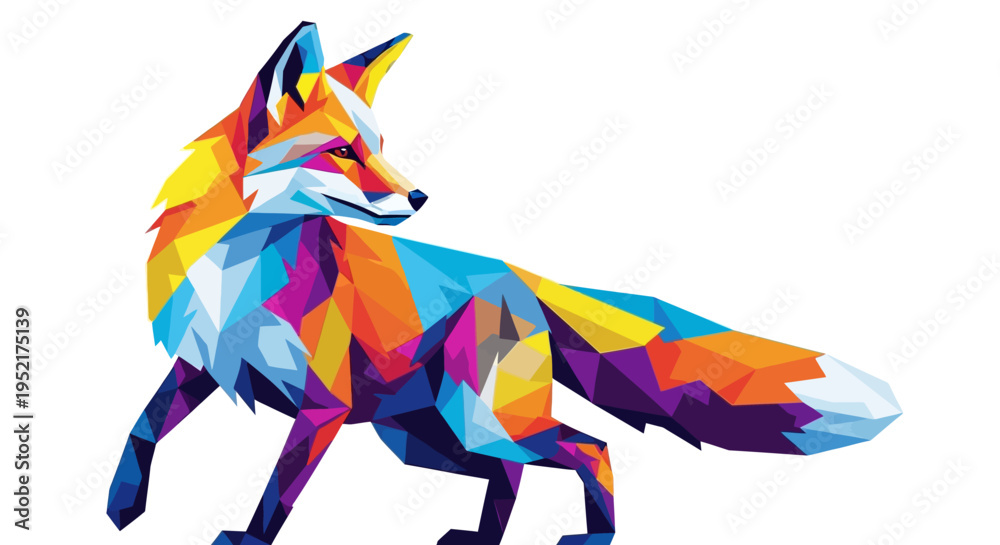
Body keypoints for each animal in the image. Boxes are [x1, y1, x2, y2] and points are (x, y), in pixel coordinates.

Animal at [107, 22, 902, 545]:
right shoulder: (204, 362)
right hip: (427, 435)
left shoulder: (324, 404)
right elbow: (144, 424)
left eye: (381, 147)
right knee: (516, 473)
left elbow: (279, 489)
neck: (237, 269)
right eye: (343, 152)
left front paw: (245, 538)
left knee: (590, 448)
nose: (420, 197)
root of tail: (517, 276)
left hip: (477, 421)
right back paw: (481, 540)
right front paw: (121, 503)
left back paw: (591, 538)